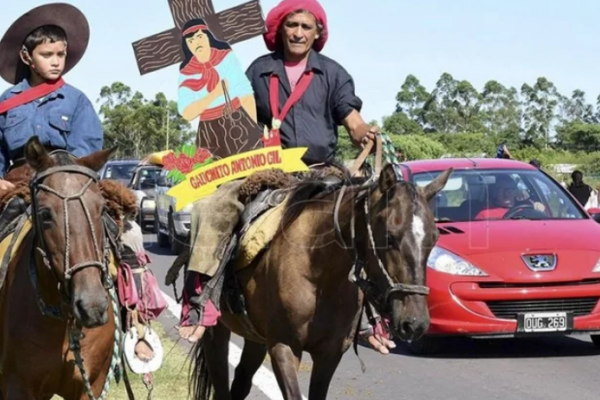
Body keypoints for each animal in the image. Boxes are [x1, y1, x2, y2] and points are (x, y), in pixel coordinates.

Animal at [188, 163, 450, 400]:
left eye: (434, 238)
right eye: (389, 237)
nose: (415, 323)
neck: (321, 276)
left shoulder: (330, 354)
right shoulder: (283, 347)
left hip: (256, 338)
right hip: (216, 332)